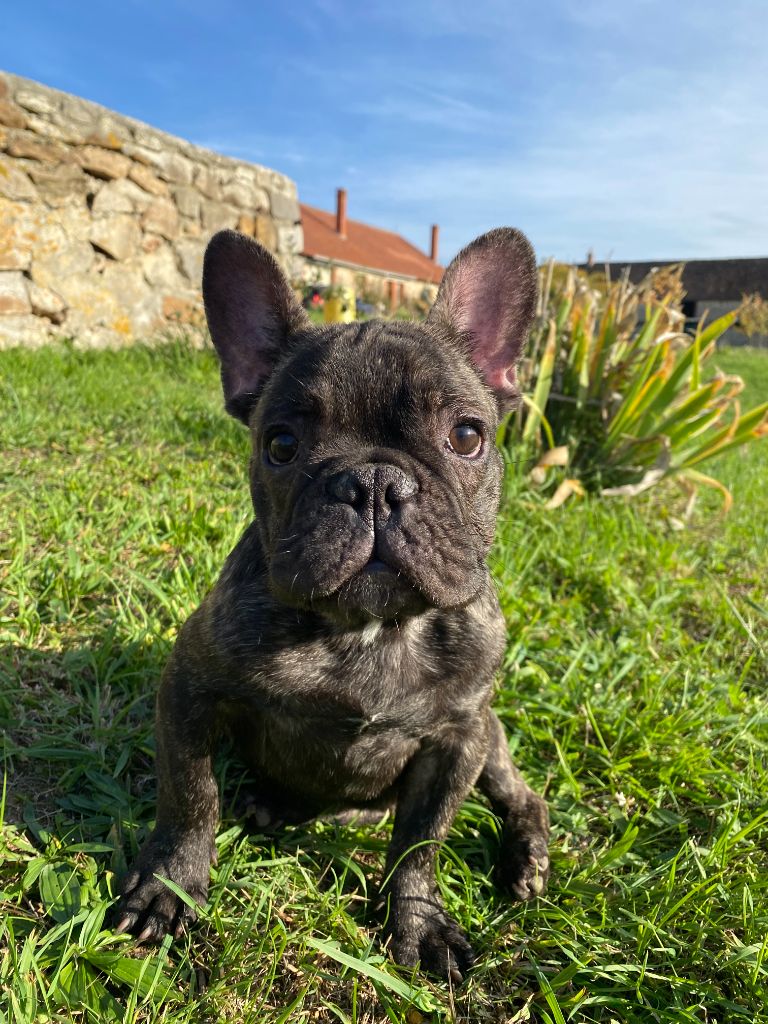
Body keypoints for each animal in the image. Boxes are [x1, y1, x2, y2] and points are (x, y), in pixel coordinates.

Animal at [114, 226, 548, 983]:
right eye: (281, 445)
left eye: (467, 436)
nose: (373, 483)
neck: (369, 632)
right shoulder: (190, 690)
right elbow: (190, 799)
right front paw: (169, 886)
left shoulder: (458, 739)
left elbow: (421, 841)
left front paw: (418, 922)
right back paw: (270, 805)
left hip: (491, 738)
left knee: (522, 797)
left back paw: (526, 858)